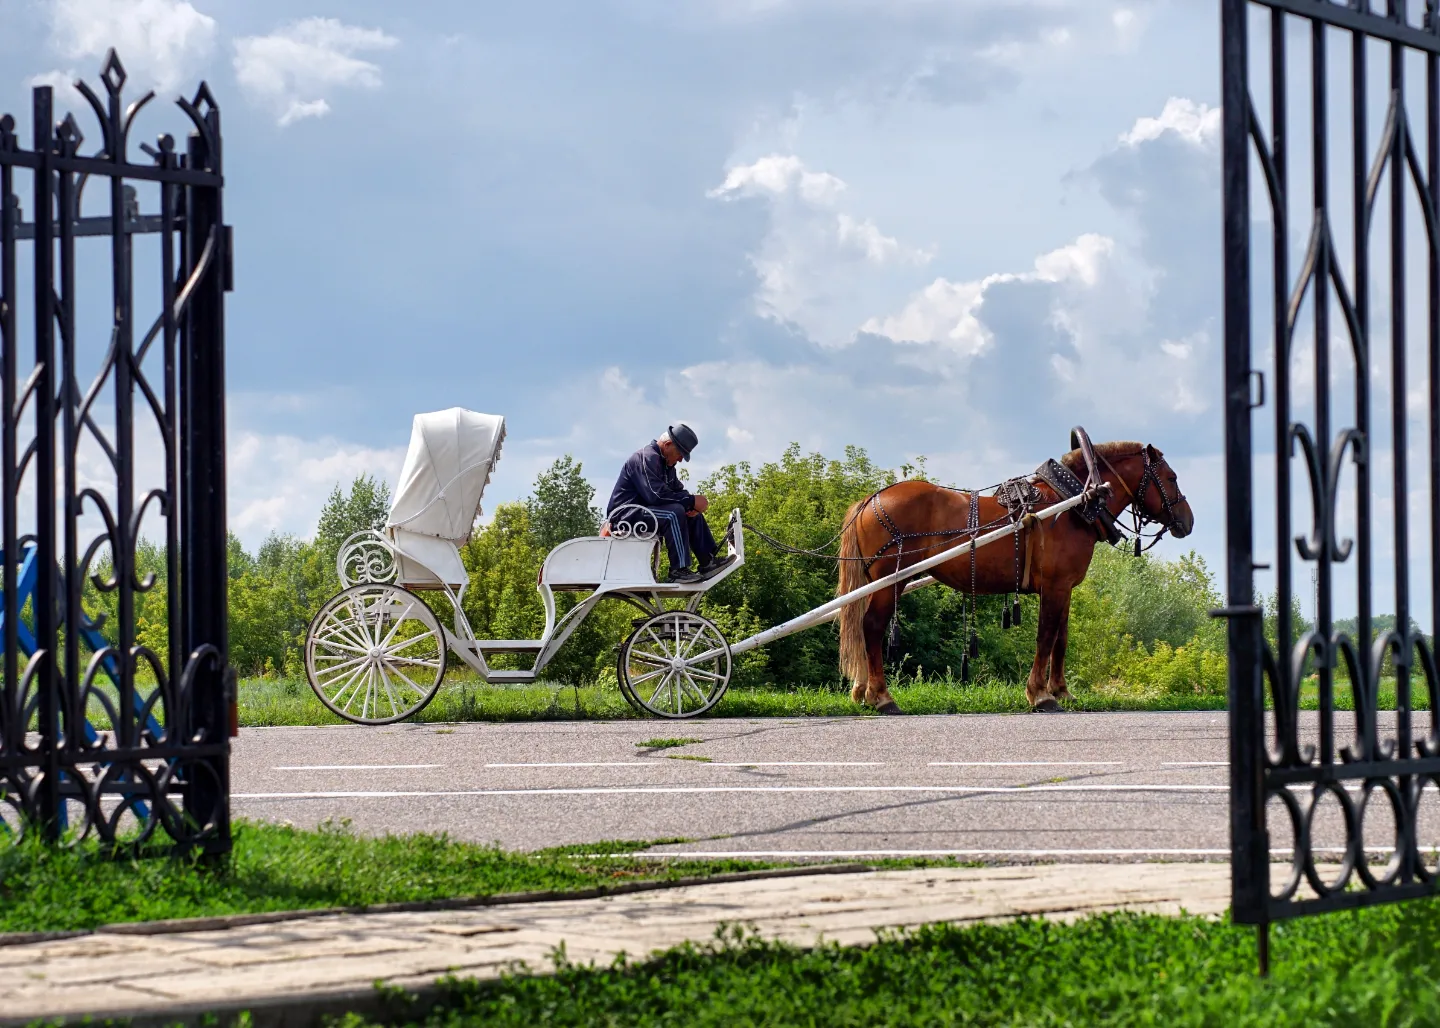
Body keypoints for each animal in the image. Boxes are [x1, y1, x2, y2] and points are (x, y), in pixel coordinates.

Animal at [835, 440, 1192, 714]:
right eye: (1171, 477)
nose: (1188, 521)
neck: (1073, 505)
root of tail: (867, 500)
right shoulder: (1055, 586)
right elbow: (1046, 636)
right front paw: (1041, 695)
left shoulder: (1065, 589)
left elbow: (1061, 639)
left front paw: (1062, 691)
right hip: (890, 580)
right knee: (871, 627)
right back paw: (881, 697)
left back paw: (862, 691)